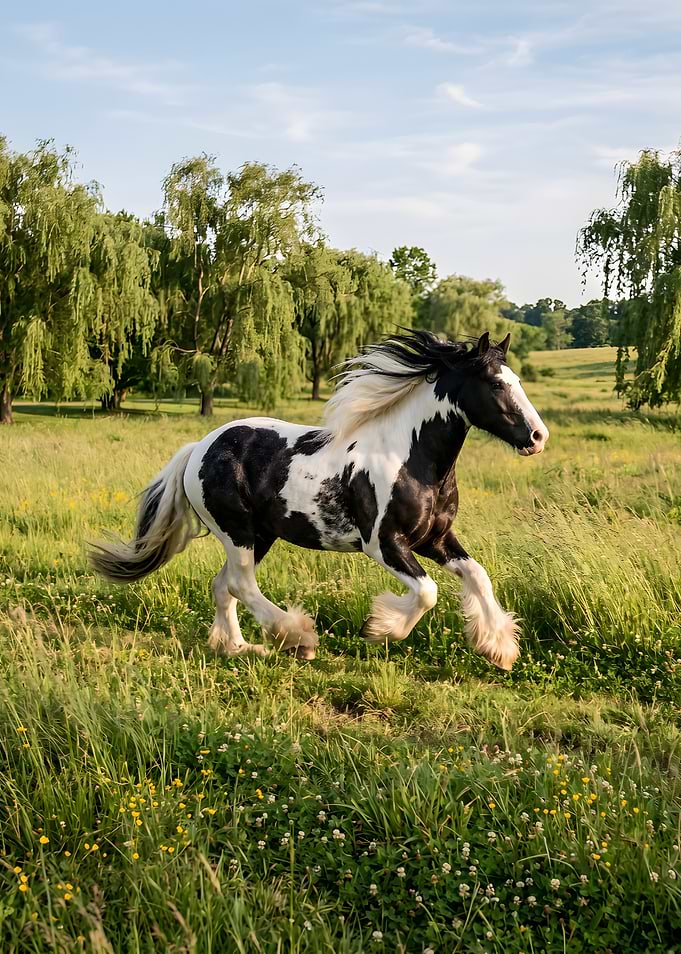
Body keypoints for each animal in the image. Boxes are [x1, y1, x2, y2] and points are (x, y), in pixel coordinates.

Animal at [89, 330, 549, 671]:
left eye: (518, 381)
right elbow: (427, 592)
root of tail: (199, 448)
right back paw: (298, 639)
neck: (411, 458)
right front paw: (381, 628)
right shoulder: (384, 544)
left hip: (260, 536)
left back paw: (238, 648)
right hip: (238, 532)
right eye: (496, 383)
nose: (537, 437)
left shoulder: (434, 539)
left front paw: (500, 649)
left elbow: (478, 577)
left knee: (224, 586)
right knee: (239, 584)